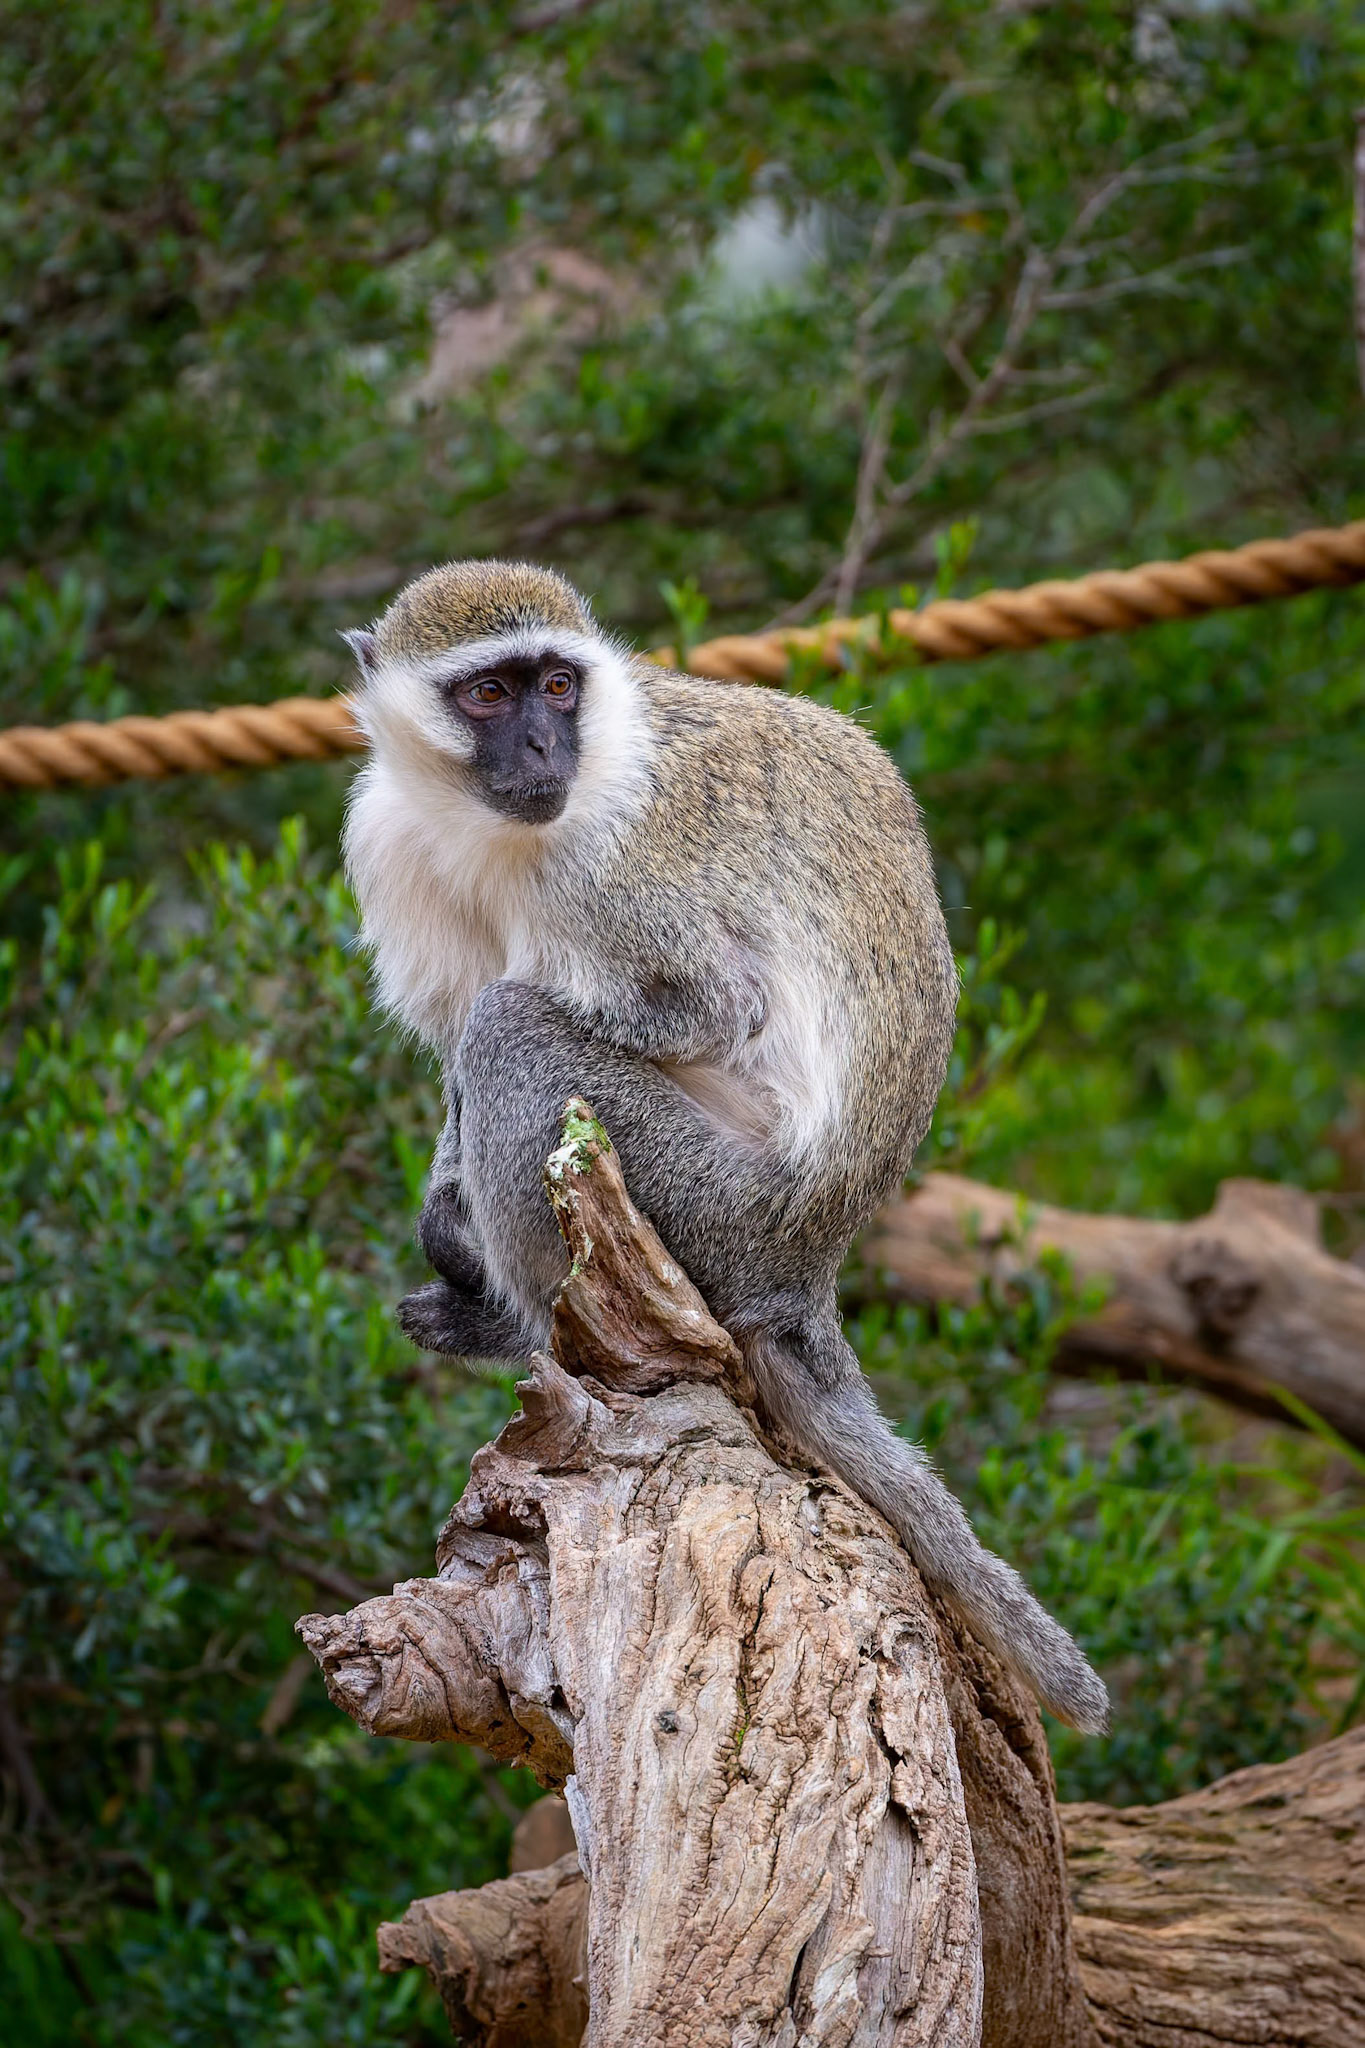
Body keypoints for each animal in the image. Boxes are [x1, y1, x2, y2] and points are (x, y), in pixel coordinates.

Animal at [340, 558, 1109, 1736]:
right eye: (488, 694)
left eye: (557, 684)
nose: (544, 751)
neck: (490, 829)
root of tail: (809, 1263)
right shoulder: (389, 838)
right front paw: (442, 1196)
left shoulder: (610, 873)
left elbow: (702, 1007)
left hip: (716, 1202)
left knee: (512, 1026)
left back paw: (521, 1328)